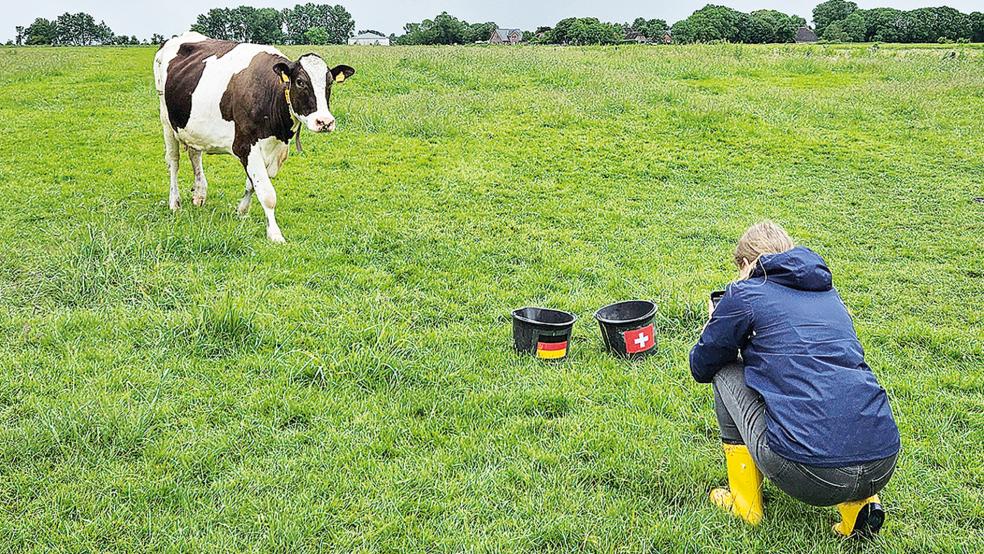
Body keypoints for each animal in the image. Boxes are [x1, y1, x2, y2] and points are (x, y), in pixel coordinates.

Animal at [152, 32, 356, 242]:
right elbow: (267, 193)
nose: (325, 122)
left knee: (195, 155)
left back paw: (199, 195)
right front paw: (275, 234)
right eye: (300, 82)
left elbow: (252, 184)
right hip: (166, 120)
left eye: (329, 83)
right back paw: (174, 203)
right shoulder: (245, 145)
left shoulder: (274, 149)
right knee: (173, 162)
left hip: (192, 127)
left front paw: (242, 211)